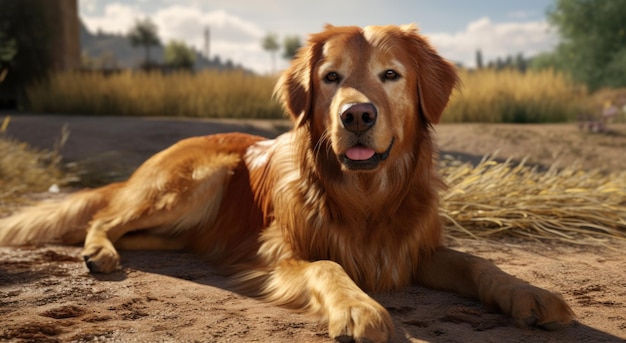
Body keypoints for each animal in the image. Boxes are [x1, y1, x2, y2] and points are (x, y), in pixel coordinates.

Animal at [0, 24, 572, 343]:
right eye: (330, 78)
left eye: (390, 75)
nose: (356, 115)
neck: (365, 196)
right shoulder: (284, 254)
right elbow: (329, 266)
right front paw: (359, 308)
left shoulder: (416, 251)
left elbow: (480, 263)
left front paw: (531, 295)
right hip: (197, 178)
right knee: (104, 218)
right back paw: (100, 253)